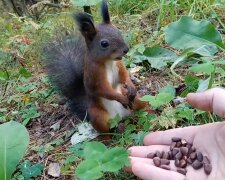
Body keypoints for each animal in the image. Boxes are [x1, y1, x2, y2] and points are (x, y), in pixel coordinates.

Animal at [41, 0, 154, 134]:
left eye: (118, 31)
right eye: (104, 44)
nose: (126, 49)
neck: (109, 61)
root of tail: (122, 117)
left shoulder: (119, 65)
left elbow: (124, 76)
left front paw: (131, 87)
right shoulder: (94, 74)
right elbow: (103, 90)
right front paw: (122, 99)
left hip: (136, 101)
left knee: (141, 106)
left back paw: (151, 112)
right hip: (98, 116)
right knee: (106, 130)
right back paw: (113, 131)